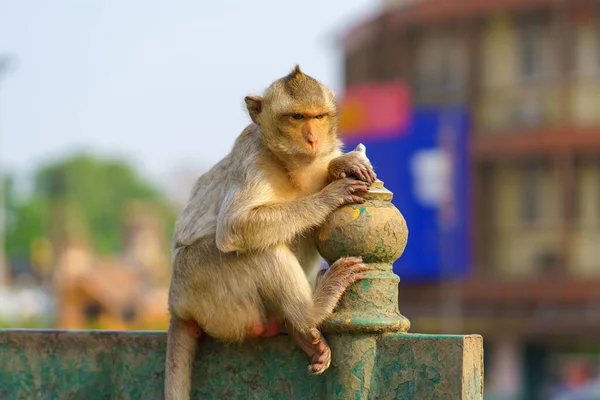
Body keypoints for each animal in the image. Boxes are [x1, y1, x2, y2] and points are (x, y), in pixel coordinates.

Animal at [165, 64, 376, 398]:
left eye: (319, 116)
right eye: (297, 117)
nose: (313, 139)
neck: (287, 163)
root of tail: (177, 307)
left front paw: (343, 164)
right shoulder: (253, 159)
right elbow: (235, 227)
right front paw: (331, 194)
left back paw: (296, 327)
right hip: (201, 283)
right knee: (262, 249)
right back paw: (310, 311)